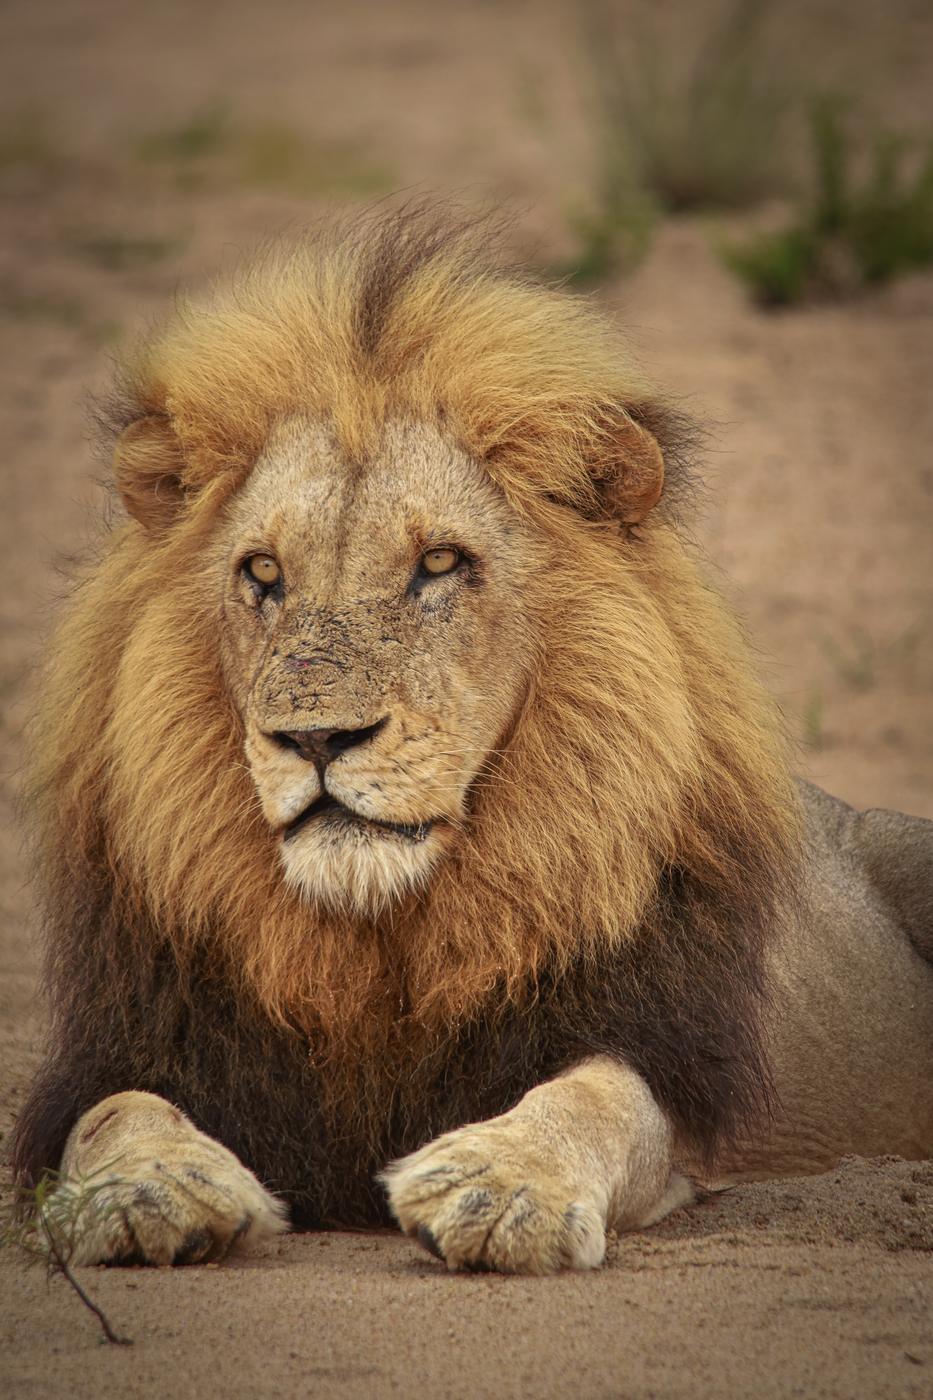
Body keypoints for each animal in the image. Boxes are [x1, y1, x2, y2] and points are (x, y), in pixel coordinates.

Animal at [11, 208, 933, 1274]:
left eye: (441, 564)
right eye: (263, 573)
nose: (316, 738)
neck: (377, 944)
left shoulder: (660, 1064)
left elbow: (597, 1096)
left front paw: (502, 1185)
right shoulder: (131, 1043)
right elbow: (115, 1110)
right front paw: (144, 1191)